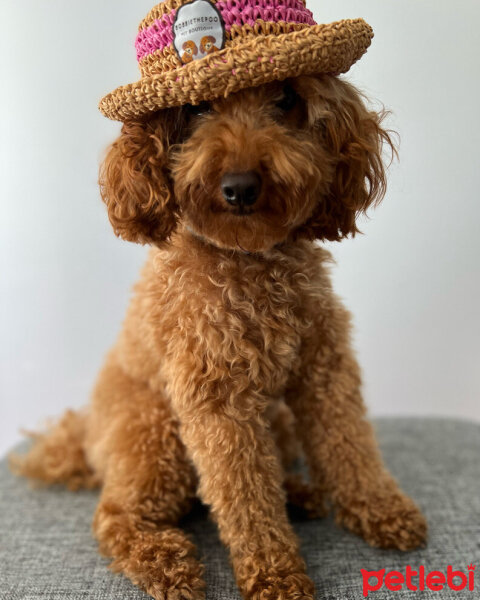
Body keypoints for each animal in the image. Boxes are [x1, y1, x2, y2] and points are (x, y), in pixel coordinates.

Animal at [13, 76, 428, 600]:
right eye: (196, 108)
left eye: (285, 98)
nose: (240, 187)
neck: (247, 257)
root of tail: (82, 437)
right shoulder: (219, 401)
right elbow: (245, 494)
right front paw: (276, 576)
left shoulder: (324, 369)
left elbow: (349, 443)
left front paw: (383, 511)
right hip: (155, 436)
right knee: (115, 516)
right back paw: (166, 563)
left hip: (275, 422)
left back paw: (300, 494)